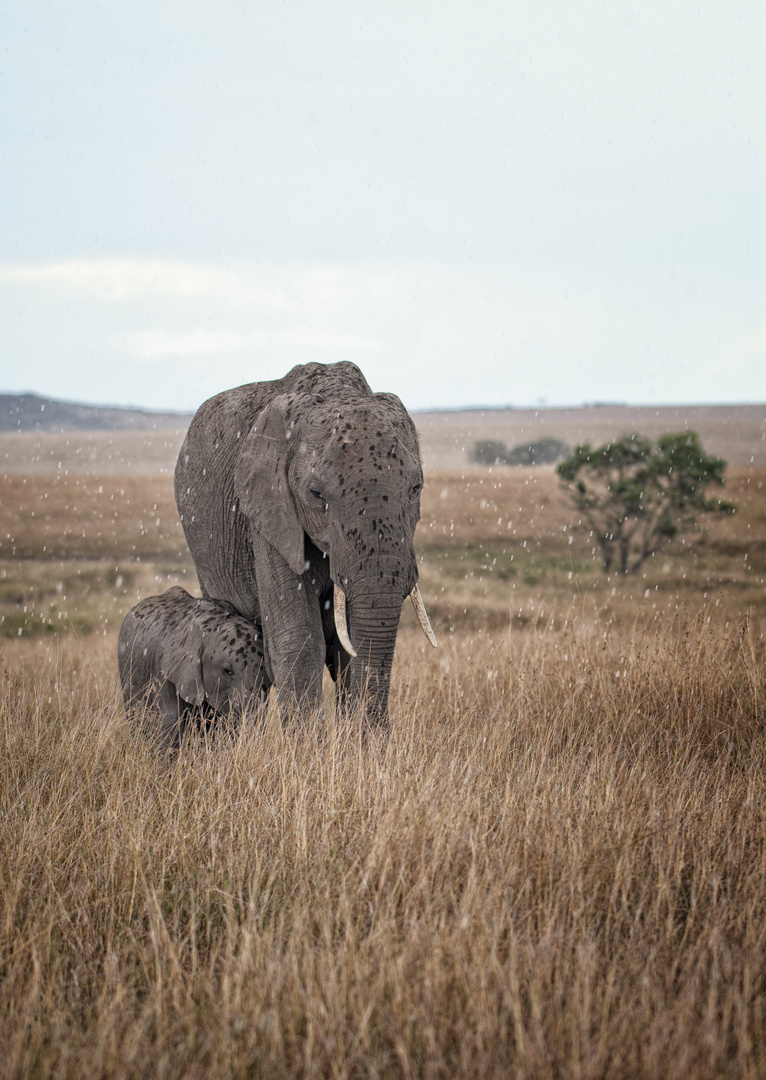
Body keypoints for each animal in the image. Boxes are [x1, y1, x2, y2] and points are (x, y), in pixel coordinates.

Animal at [175, 362, 436, 725]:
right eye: (315, 494)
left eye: (416, 488)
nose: (375, 738)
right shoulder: (268, 513)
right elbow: (299, 635)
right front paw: (308, 741)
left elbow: (348, 645)